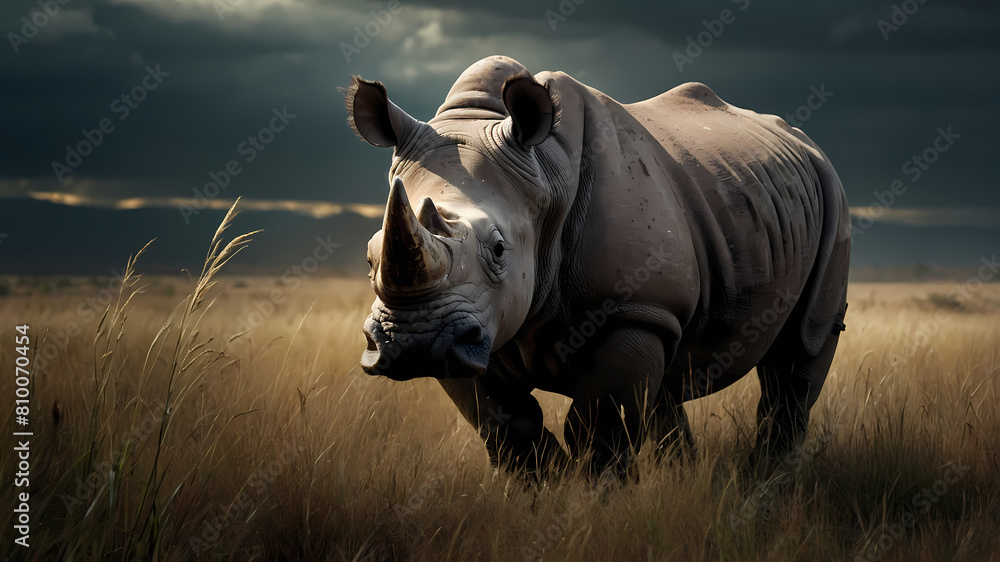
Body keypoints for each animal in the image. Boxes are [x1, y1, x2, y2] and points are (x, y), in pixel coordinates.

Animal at [346, 55, 850, 477]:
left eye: (499, 249)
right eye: (370, 257)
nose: (413, 342)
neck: (544, 175)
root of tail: (802, 139)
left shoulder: (632, 308)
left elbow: (599, 430)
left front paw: (593, 505)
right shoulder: (469, 331)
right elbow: (508, 428)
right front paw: (543, 494)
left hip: (832, 191)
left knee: (801, 353)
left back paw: (767, 481)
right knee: (667, 381)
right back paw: (685, 482)